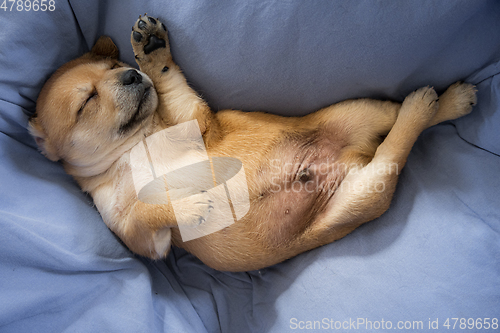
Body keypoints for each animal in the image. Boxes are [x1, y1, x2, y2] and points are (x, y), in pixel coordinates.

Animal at [29, 15, 478, 270]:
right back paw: (441, 102)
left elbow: (169, 80)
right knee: (394, 143)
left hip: (359, 116)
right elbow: (145, 210)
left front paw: (153, 50)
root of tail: (350, 157)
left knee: (398, 132)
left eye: (116, 65)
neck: (136, 145)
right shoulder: (138, 235)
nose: (130, 75)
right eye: (87, 102)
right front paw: (190, 206)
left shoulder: (192, 118)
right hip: (361, 183)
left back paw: (438, 101)